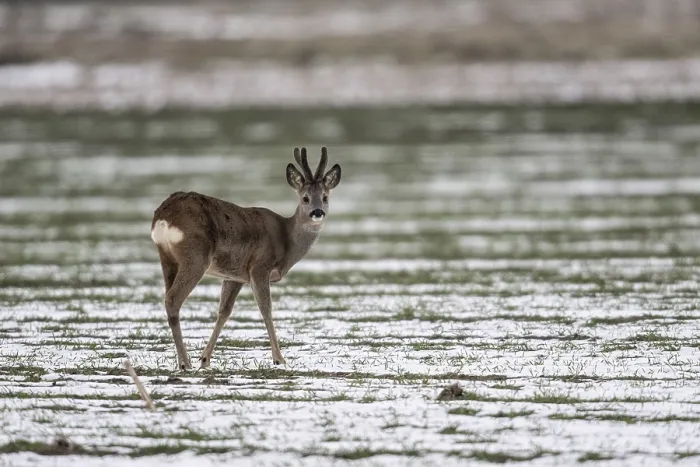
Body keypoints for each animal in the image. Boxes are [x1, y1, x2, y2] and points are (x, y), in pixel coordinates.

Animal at [150, 147, 341, 371]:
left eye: (325, 197)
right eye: (305, 198)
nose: (317, 212)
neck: (286, 240)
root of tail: (163, 216)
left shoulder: (235, 275)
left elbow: (224, 311)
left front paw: (205, 359)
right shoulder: (259, 266)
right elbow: (266, 308)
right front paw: (279, 359)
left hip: (167, 257)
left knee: (169, 298)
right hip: (196, 255)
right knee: (173, 299)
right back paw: (184, 362)